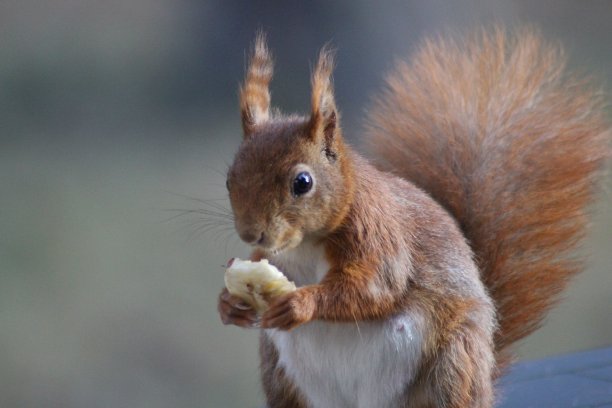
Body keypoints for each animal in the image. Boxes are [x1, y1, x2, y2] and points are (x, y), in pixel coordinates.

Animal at [216, 29, 608, 408]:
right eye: (229, 178)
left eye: (303, 182)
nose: (252, 233)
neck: (306, 244)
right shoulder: (273, 255)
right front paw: (229, 304)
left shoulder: (377, 231)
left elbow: (376, 286)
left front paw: (301, 303)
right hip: (280, 372)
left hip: (452, 362)